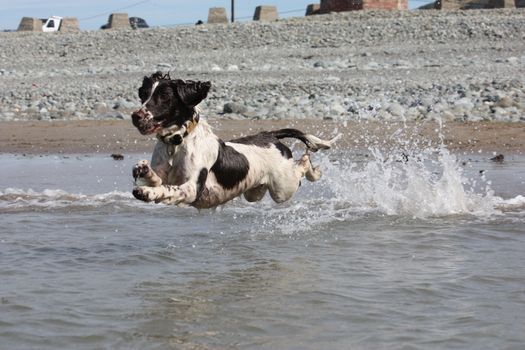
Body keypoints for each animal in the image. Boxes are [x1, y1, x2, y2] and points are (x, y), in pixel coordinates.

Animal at [129, 71, 338, 208]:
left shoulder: (192, 188)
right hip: (255, 192)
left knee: (301, 169)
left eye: (164, 96)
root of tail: (270, 135)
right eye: (143, 94)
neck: (177, 142)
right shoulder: (165, 173)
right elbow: (156, 179)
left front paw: (147, 192)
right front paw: (143, 169)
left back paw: (312, 169)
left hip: (282, 187)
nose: (136, 116)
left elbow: (169, 190)